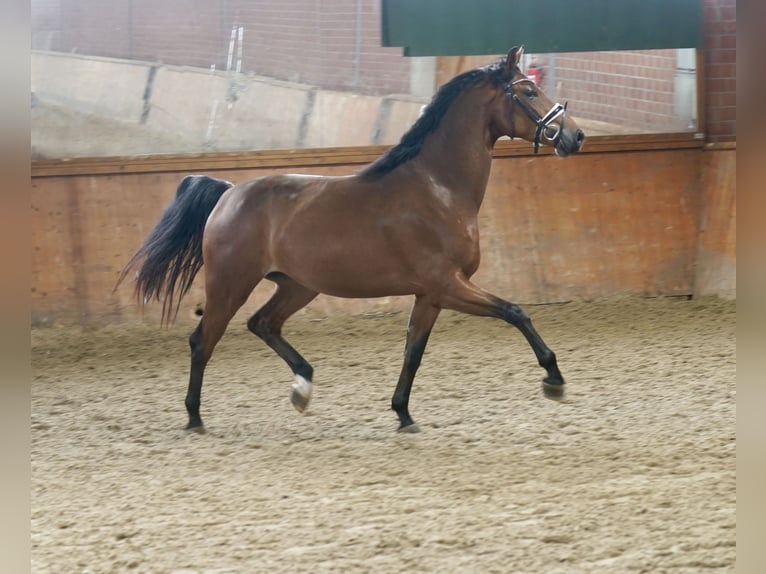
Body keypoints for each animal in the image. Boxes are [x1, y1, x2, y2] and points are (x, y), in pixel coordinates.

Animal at [117, 46, 585, 433]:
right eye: (528, 91)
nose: (574, 136)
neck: (438, 188)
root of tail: (229, 193)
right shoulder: (448, 284)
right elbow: (515, 312)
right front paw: (554, 379)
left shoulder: (430, 295)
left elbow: (413, 352)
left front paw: (403, 414)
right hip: (230, 285)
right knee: (203, 340)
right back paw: (195, 417)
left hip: (298, 286)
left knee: (262, 323)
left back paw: (302, 387)